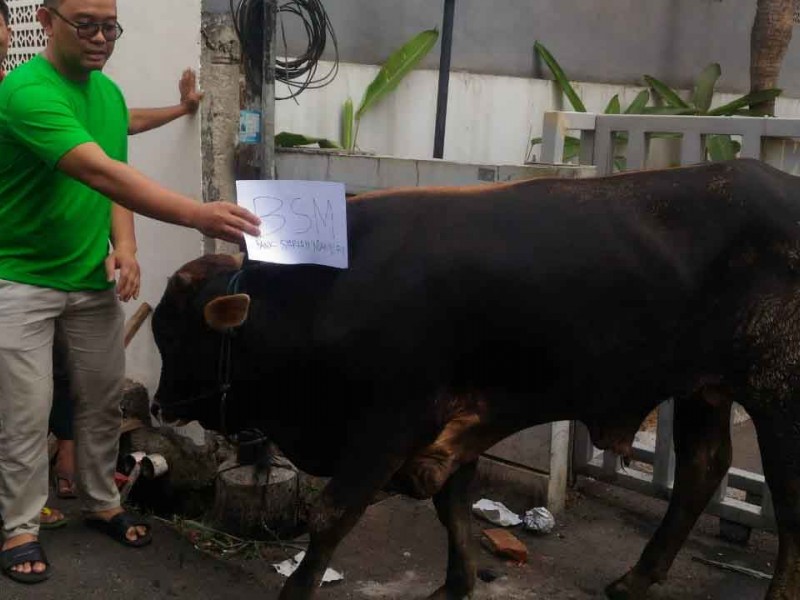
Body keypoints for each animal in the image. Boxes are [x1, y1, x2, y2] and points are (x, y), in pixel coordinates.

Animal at [152, 159, 800, 600]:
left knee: (785, 499)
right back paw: (635, 579)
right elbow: (453, 506)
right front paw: (456, 583)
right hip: (704, 389)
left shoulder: (389, 425)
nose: (160, 405)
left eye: (174, 335)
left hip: (777, 394)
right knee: (701, 471)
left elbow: (333, 515)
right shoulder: (453, 422)